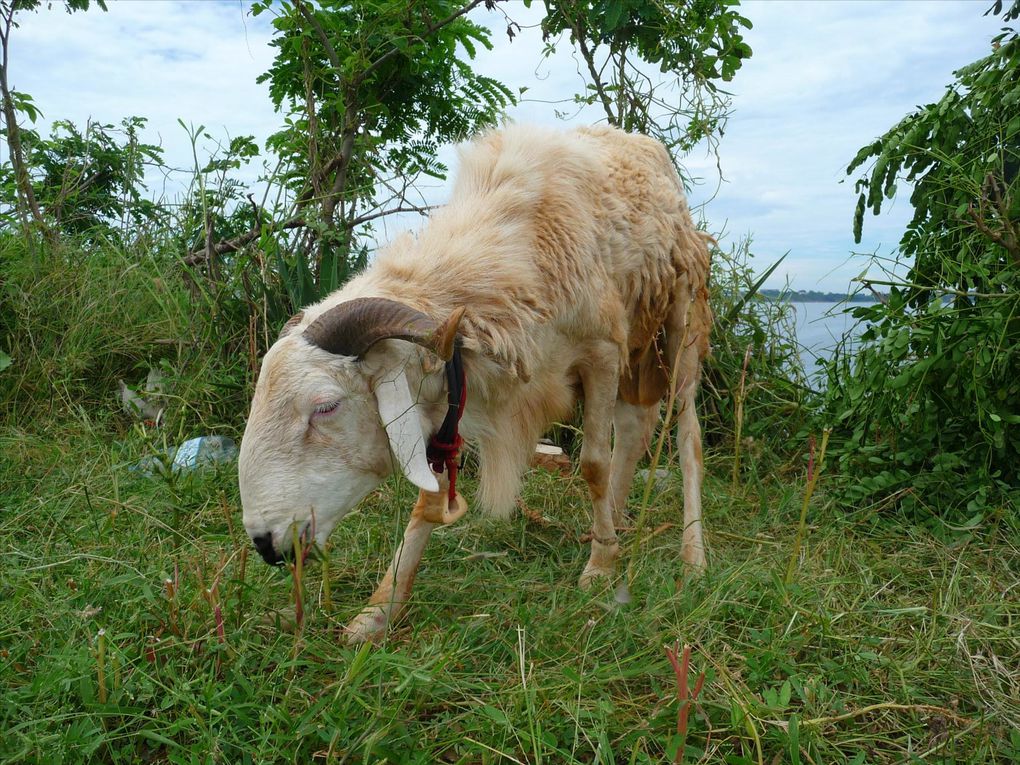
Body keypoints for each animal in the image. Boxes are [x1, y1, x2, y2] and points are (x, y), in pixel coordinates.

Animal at [242, 124, 714, 640]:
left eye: (326, 407)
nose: (265, 543)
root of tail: (638, 141)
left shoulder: (603, 352)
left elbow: (593, 465)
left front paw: (600, 568)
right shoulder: (446, 402)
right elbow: (428, 499)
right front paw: (379, 610)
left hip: (678, 322)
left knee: (685, 435)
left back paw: (691, 556)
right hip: (639, 344)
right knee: (634, 428)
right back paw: (618, 520)